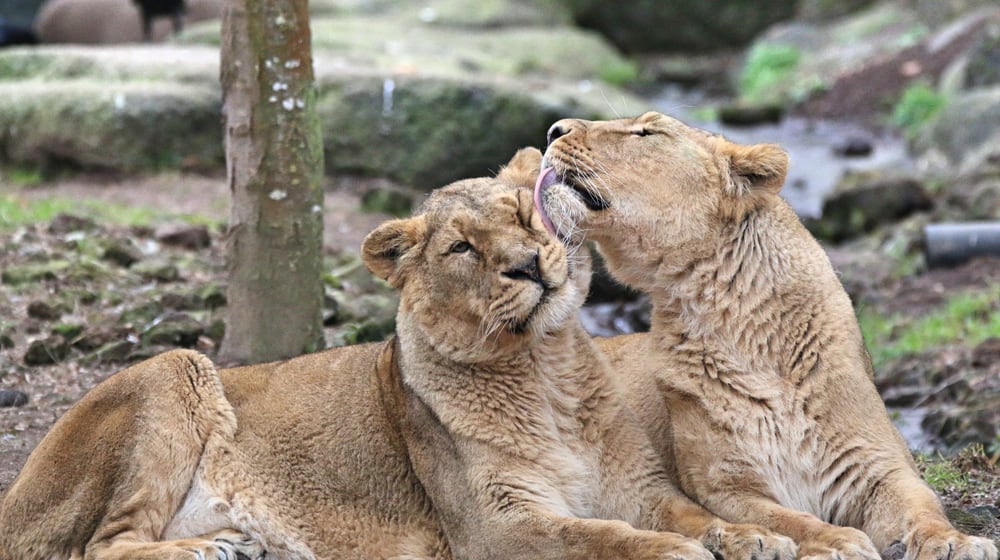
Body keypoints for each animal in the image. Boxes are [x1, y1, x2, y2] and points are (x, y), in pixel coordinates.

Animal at [0, 149, 794, 560]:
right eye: (462, 248)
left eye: (520, 214)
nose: (525, 266)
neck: (545, 370)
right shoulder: (494, 526)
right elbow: (598, 535)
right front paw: (676, 553)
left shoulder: (643, 489)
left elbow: (693, 514)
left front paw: (755, 538)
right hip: (173, 369)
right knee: (102, 545)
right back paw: (205, 549)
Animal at [533, 111, 1000, 560]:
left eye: (647, 133)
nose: (554, 129)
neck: (741, 327)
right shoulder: (724, 486)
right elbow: (791, 520)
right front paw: (837, 541)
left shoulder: (879, 466)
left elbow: (923, 508)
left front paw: (955, 542)